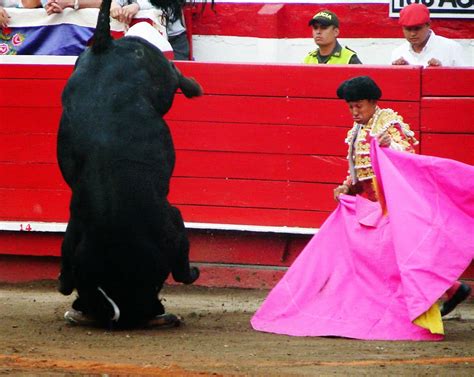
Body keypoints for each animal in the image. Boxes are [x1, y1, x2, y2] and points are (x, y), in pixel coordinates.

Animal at [57, 30, 202, 328]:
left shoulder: (172, 224)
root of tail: (103, 45)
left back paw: (194, 87)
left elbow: (183, 269)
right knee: (172, 74)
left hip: (153, 70)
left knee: (173, 73)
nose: (149, 312)